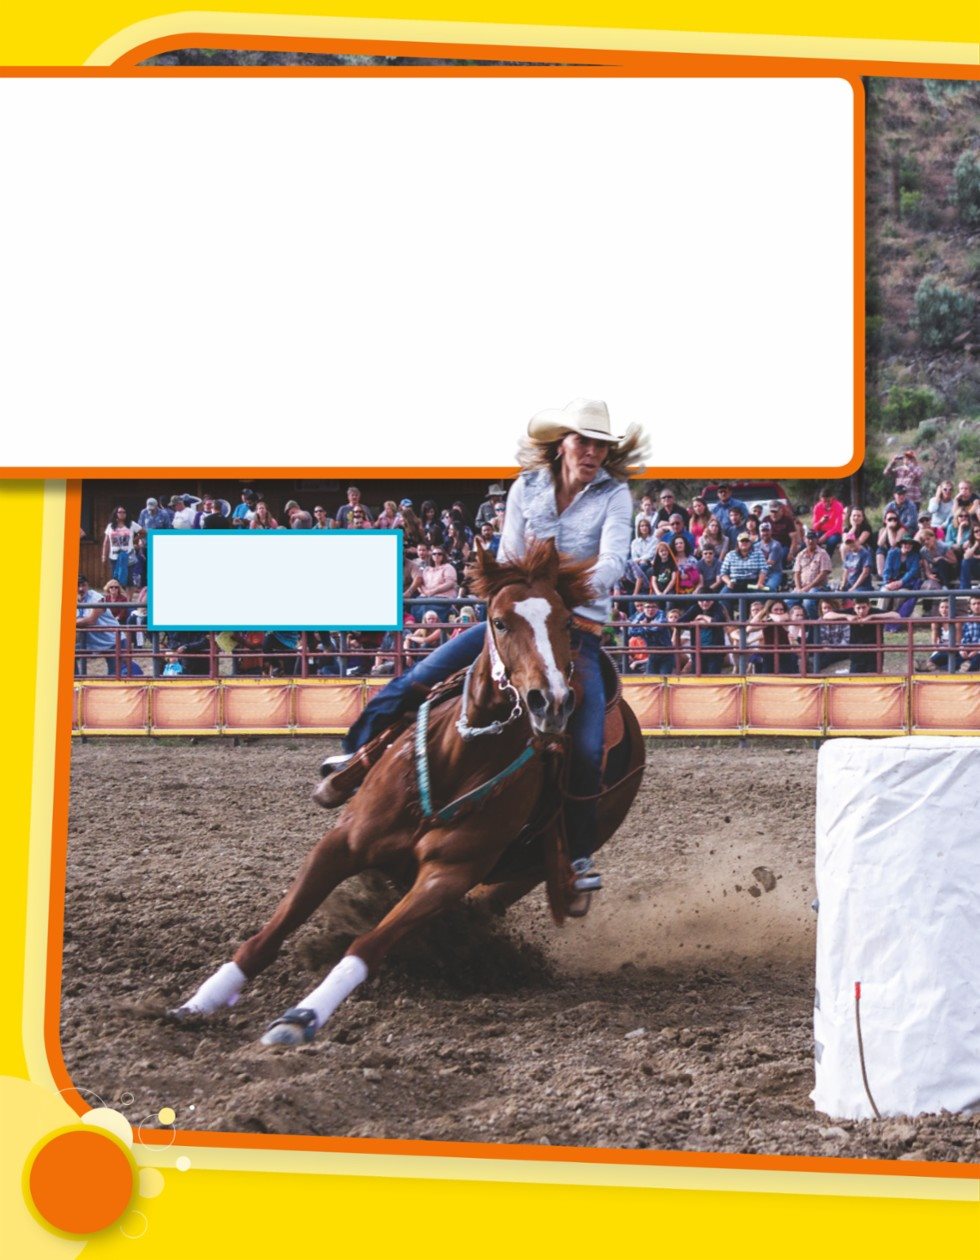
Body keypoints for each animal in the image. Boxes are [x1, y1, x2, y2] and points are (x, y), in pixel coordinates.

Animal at [171, 539, 644, 1043]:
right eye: (499, 621)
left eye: (565, 624)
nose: (550, 702)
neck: (461, 758)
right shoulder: (341, 843)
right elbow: (277, 927)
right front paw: (203, 999)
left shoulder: (448, 875)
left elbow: (367, 945)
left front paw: (301, 1017)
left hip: (532, 868)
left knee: (490, 902)